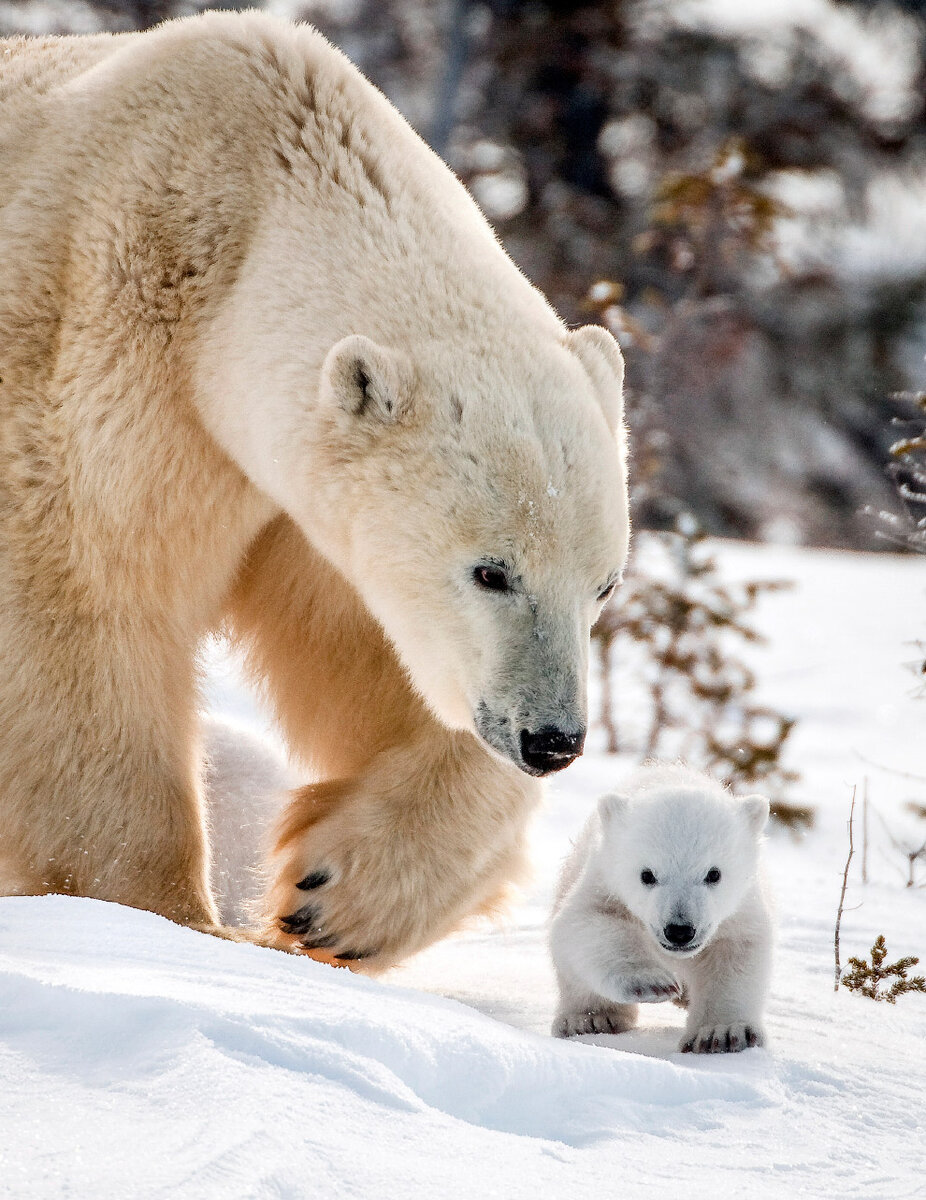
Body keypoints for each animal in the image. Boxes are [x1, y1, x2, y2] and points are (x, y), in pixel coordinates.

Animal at [0, 9, 628, 969]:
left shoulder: (297, 497)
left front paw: (333, 895)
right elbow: (88, 603)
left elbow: (368, 653)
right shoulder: (105, 357)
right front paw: (163, 919)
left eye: (604, 585)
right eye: (492, 571)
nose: (553, 739)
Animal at [549, 768, 772, 1051]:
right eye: (647, 875)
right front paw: (651, 983)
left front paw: (721, 1033)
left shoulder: (740, 910)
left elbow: (736, 953)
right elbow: (588, 921)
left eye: (714, 874)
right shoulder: (604, 882)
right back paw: (590, 1019)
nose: (679, 930)